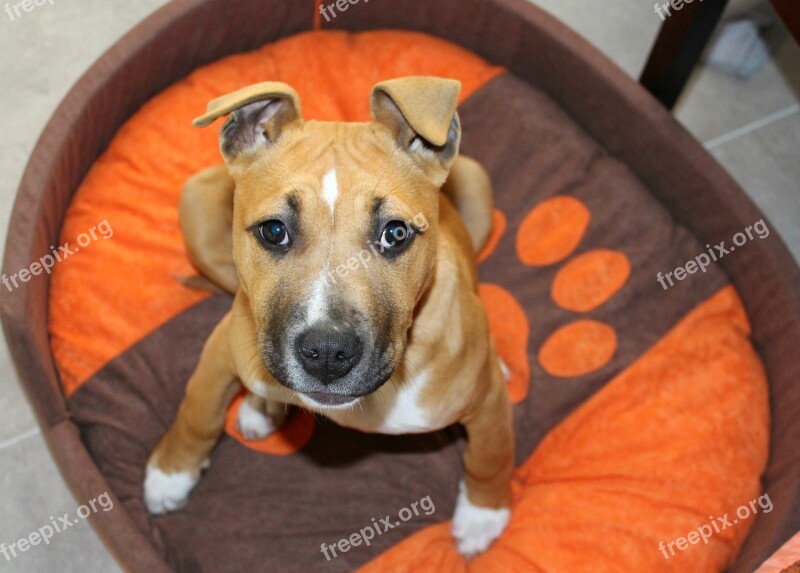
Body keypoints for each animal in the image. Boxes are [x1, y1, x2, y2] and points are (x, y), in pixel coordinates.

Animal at [143, 76, 512, 556]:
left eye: (396, 233)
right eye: (273, 231)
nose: (327, 353)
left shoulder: (487, 402)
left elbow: (490, 455)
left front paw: (483, 517)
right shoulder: (223, 348)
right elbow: (197, 409)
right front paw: (170, 475)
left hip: (478, 190)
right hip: (198, 219)